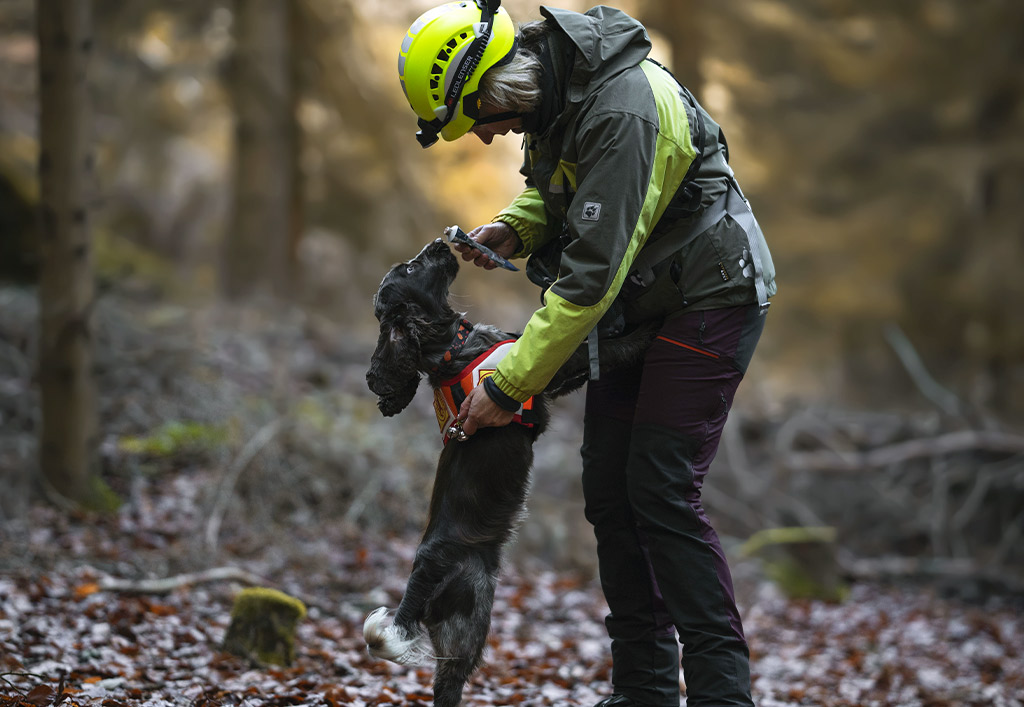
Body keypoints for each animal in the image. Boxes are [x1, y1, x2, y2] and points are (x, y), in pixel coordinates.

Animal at [360, 237, 647, 704]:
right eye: (411, 268)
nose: (440, 242)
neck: (450, 348)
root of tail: (420, 576)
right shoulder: (549, 368)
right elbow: (605, 346)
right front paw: (651, 328)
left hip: (462, 627)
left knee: (446, 685)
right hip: (471, 615)